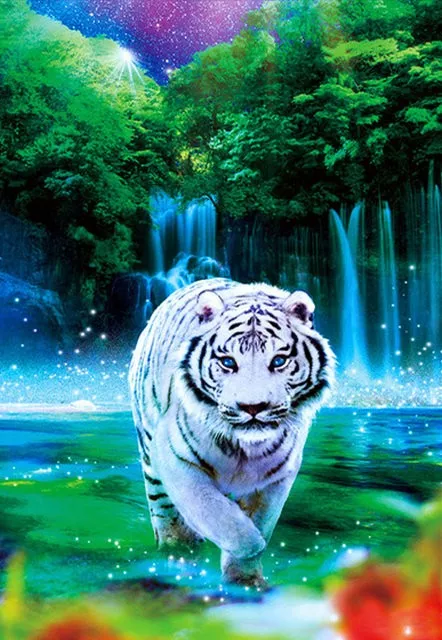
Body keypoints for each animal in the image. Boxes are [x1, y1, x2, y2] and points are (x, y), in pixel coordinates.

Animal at [129, 277, 335, 587]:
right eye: (228, 362)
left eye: (278, 361)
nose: (253, 407)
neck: (246, 448)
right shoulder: (175, 459)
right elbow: (228, 523)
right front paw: (246, 549)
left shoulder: (277, 478)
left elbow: (259, 524)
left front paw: (246, 580)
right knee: (167, 516)